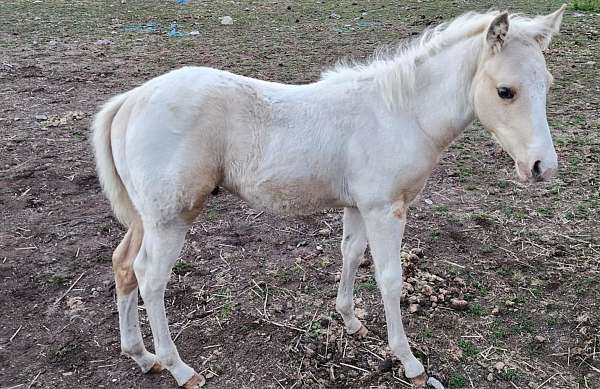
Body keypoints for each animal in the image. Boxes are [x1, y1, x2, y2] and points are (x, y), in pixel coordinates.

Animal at [92, 6, 568, 388]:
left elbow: (350, 255)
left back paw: (142, 357)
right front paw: (409, 361)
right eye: (505, 91)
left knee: (123, 266)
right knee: (150, 277)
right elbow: (390, 279)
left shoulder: (358, 206)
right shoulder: (384, 209)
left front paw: (351, 320)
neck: (401, 113)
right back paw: (179, 368)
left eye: (547, 83)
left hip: (147, 218)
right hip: (170, 219)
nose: (542, 167)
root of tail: (130, 101)